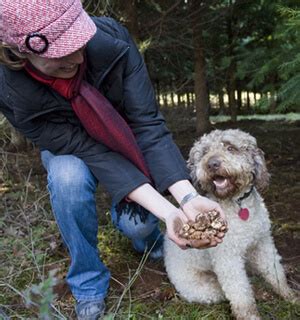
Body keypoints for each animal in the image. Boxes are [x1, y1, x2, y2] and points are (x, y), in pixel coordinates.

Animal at [164, 129, 298, 320]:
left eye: (230, 147)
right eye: (205, 152)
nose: (212, 164)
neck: (237, 202)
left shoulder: (263, 243)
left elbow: (275, 272)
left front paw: (289, 295)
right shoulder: (228, 258)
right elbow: (240, 292)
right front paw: (250, 316)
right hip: (206, 289)